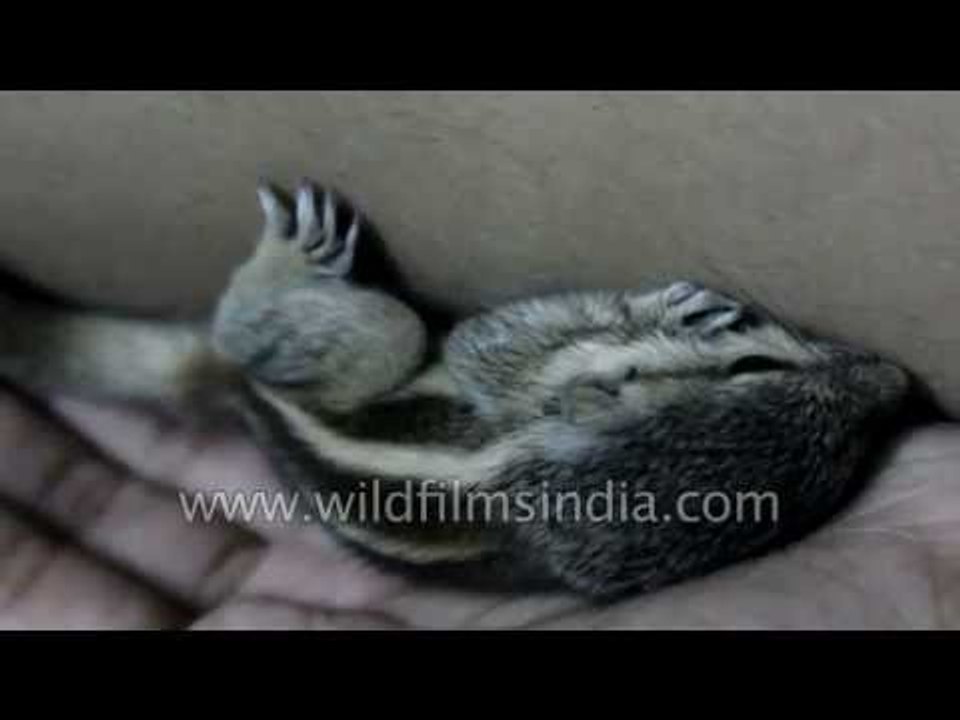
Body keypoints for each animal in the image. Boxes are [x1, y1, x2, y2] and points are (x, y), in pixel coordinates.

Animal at [0, 178, 917, 600]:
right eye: (753, 367)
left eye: (834, 480)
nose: (899, 379)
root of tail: (249, 402)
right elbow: (502, 341)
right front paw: (665, 307)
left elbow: (491, 344)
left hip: (350, 349)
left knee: (286, 330)